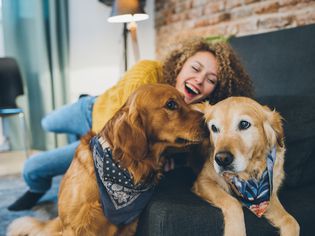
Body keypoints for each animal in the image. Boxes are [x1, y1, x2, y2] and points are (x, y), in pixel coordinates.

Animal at [7, 84, 207, 236]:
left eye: (186, 100)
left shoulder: (128, 228)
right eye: (171, 104)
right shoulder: (74, 227)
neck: (124, 168)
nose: (207, 122)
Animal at [194, 96, 300, 236]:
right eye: (214, 128)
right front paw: (235, 231)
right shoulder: (203, 181)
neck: (247, 176)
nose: (221, 159)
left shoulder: (267, 196)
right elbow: (233, 202)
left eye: (244, 124)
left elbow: (291, 220)